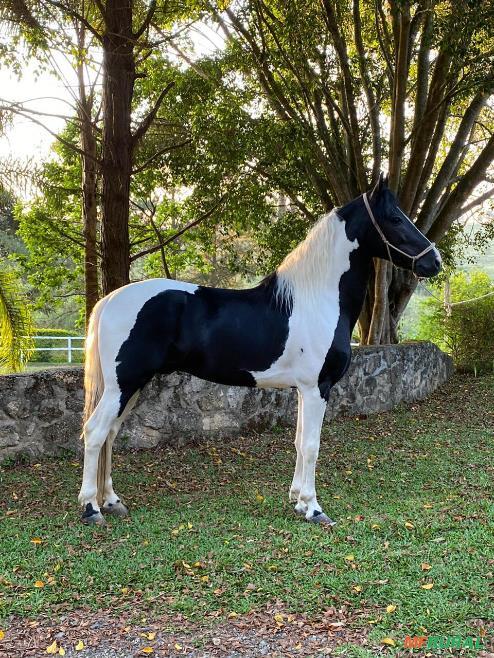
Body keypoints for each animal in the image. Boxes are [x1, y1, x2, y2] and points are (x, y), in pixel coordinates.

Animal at [78, 174, 441, 527]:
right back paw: (91, 509)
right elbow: (311, 445)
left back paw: (111, 501)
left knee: (110, 434)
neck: (316, 299)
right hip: (123, 386)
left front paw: (298, 500)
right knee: (95, 433)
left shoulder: (303, 389)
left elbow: (298, 442)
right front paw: (314, 509)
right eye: (395, 218)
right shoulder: (317, 388)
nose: (434, 261)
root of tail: (110, 299)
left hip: (131, 386)